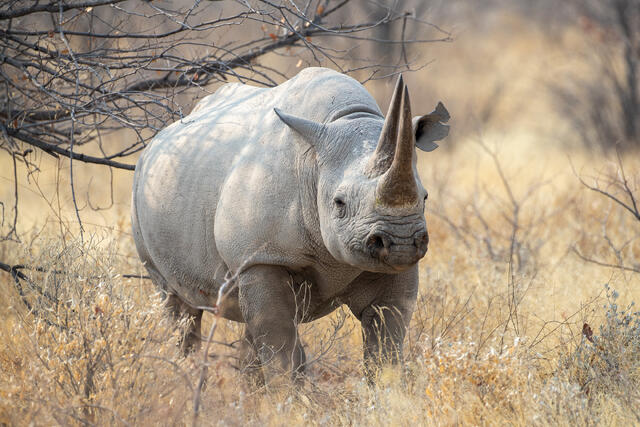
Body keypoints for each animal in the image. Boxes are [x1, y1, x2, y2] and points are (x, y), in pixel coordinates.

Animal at [131, 67, 449, 382]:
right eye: (339, 203)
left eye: (424, 197)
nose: (401, 242)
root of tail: (156, 141)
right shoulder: (262, 257)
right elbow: (278, 338)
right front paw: (287, 395)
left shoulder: (397, 268)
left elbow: (386, 338)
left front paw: (385, 390)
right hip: (144, 193)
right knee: (178, 307)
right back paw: (186, 373)